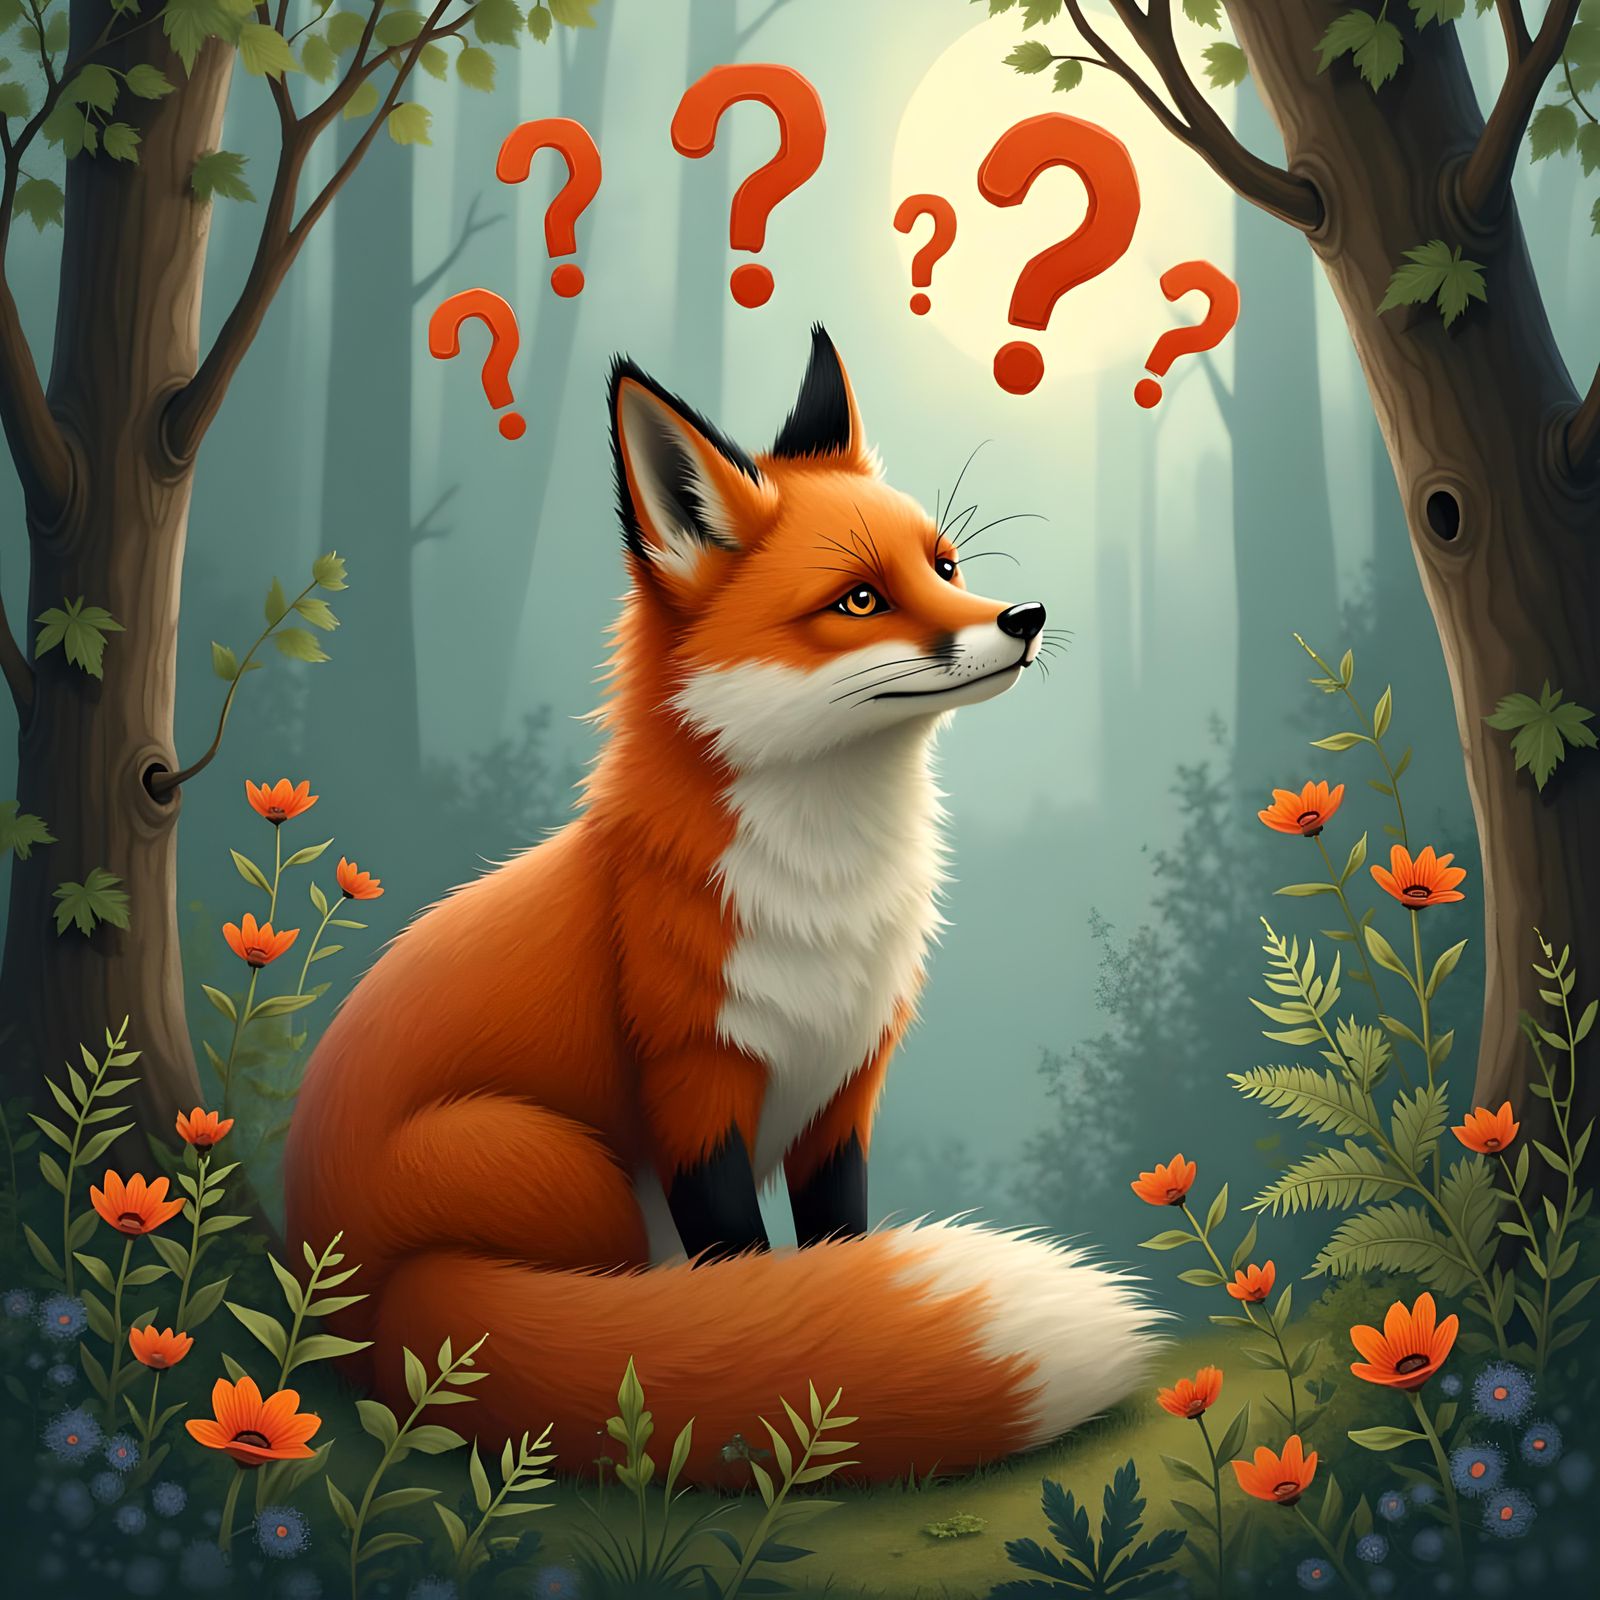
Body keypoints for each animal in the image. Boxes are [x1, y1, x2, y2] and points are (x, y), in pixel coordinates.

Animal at [284, 325, 1157, 1482]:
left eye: (946, 565)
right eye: (860, 600)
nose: (1025, 618)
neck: (827, 901)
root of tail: (351, 1312)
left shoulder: (846, 1092)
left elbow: (835, 1251)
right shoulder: (694, 1089)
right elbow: (749, 1275)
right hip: (563, 1164)